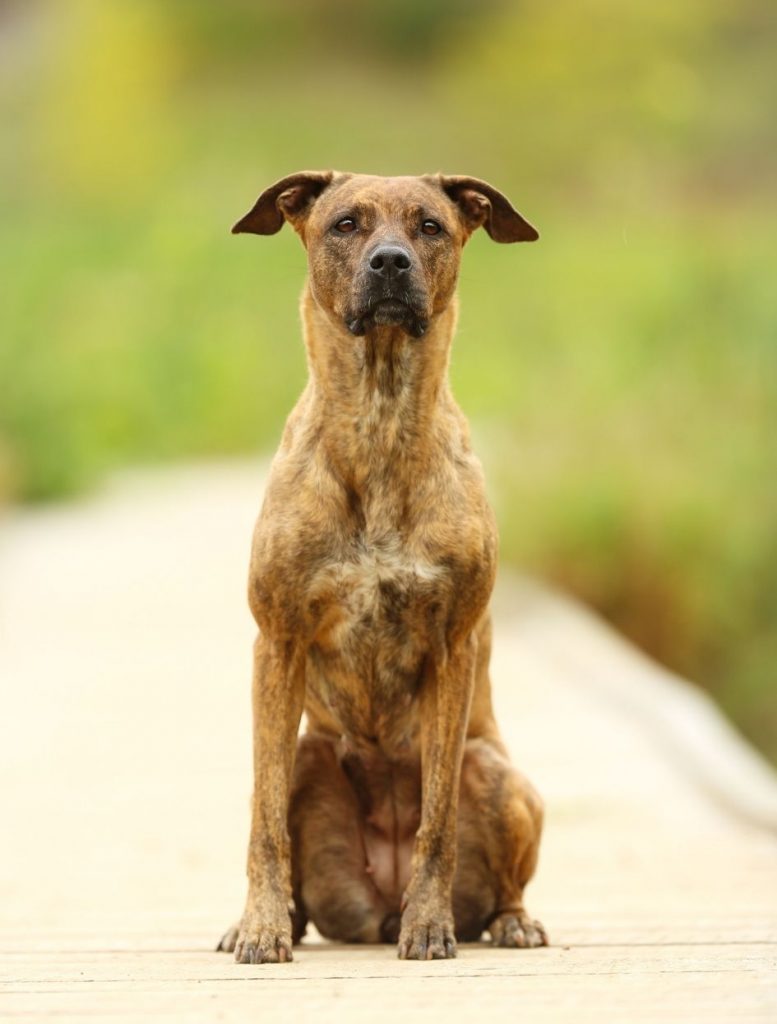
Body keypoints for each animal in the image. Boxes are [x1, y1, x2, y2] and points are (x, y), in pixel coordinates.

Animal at [217, 172, 548, 962]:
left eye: (430, 225)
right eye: (345, 224)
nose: (390, 262)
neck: (379, 418)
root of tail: (378, 907)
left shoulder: (452, 648)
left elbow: (437, 822)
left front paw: (430, 925)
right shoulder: (275, 644)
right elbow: (263, 824)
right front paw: (261, 927)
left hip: (498, 776)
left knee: (499, 876)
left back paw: (505, 920)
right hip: (308, 754)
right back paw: (271, 919)